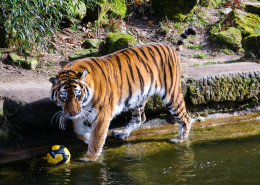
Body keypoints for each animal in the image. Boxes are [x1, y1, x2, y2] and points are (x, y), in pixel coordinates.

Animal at [48, 26, 196, 161]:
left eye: (78, 95)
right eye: (63, 97)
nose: (72, 113)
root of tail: (173, 50)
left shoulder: (102, 113)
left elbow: (97, 137)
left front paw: (90, 157)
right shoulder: (82, 110)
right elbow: (77, 127)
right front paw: (86, 135)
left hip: (171, 94)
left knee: (185, 118)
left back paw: (180, 140)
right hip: (138, 97)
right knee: (140, 118)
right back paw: (122, 132)